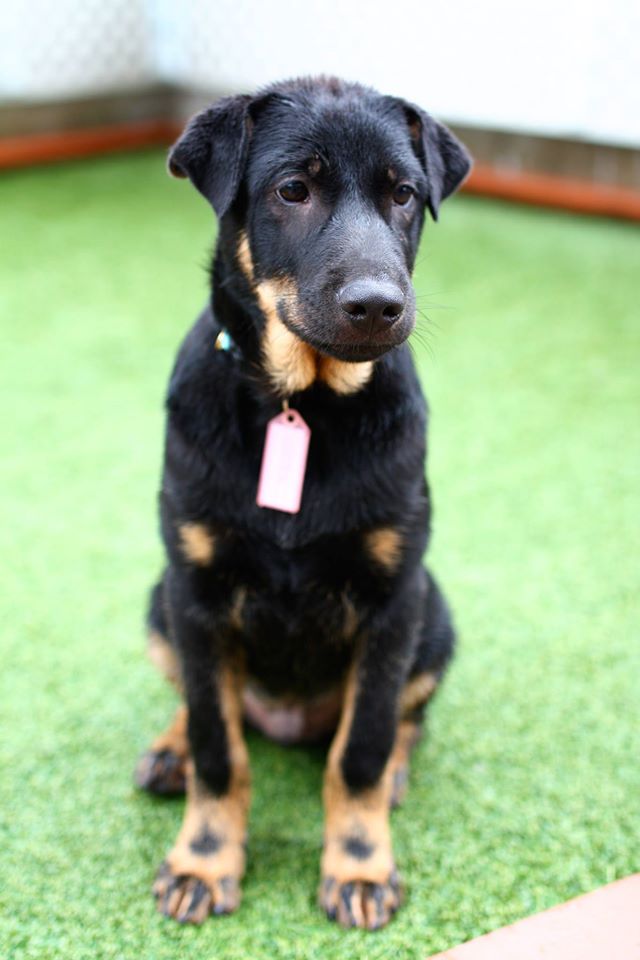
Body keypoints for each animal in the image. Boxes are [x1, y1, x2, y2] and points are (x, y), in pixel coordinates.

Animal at [134, 75, 470, 930]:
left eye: (403, 195)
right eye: (293, 190)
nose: (378, 306)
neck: (303, 404)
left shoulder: (392, 600)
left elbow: (359, 750)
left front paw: (359, 866)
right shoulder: (196, 590)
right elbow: (220, 749)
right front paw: (203, 860)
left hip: (435, 614)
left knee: (400, 721)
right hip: (159, 601)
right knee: (202, 704)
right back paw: (169, 752)